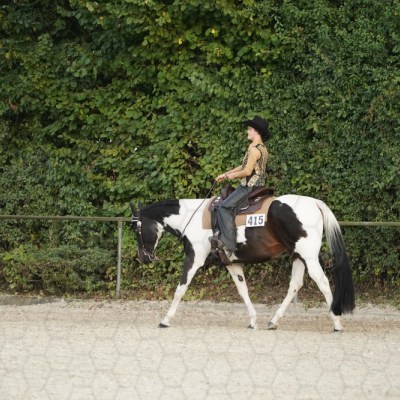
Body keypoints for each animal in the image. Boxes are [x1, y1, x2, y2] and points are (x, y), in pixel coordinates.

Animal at [130, 193, 355, 331]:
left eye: (136, 229)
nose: (143, 257)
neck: (190, 218)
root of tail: (314, 202)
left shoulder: (194, 258)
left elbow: (180, 289)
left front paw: (165, 320)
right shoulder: (231, 263)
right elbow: (242, 289)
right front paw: (253, 320)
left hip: (308, 256)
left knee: (322, 282)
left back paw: (337, 322)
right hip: (298, 256)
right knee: (295, 285)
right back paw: (273, 321)